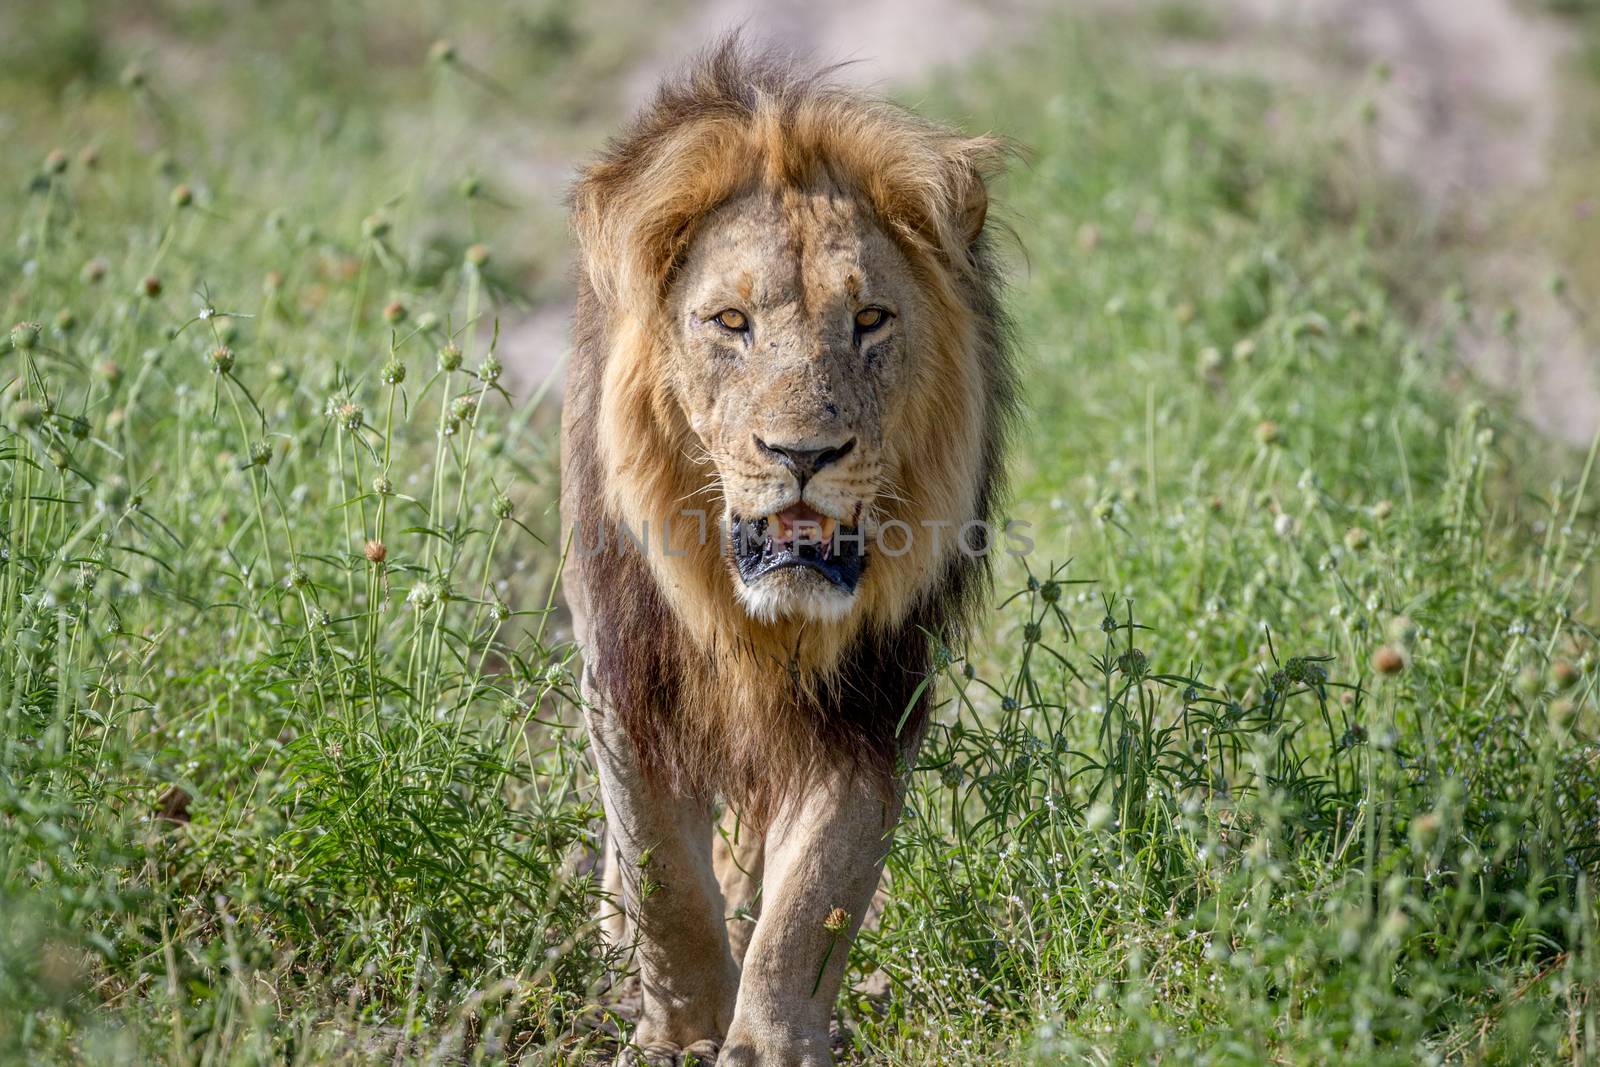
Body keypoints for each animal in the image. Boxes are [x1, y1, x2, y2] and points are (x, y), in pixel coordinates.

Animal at [560, 37, 1011, 1062]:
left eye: (871, 319)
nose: (803, 454)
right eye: (732, 323)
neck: (757, 616)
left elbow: (815, 896)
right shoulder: (625, 672)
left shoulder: (873, 698)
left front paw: (768, 1041)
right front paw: (683, 1027)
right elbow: (659, 872)